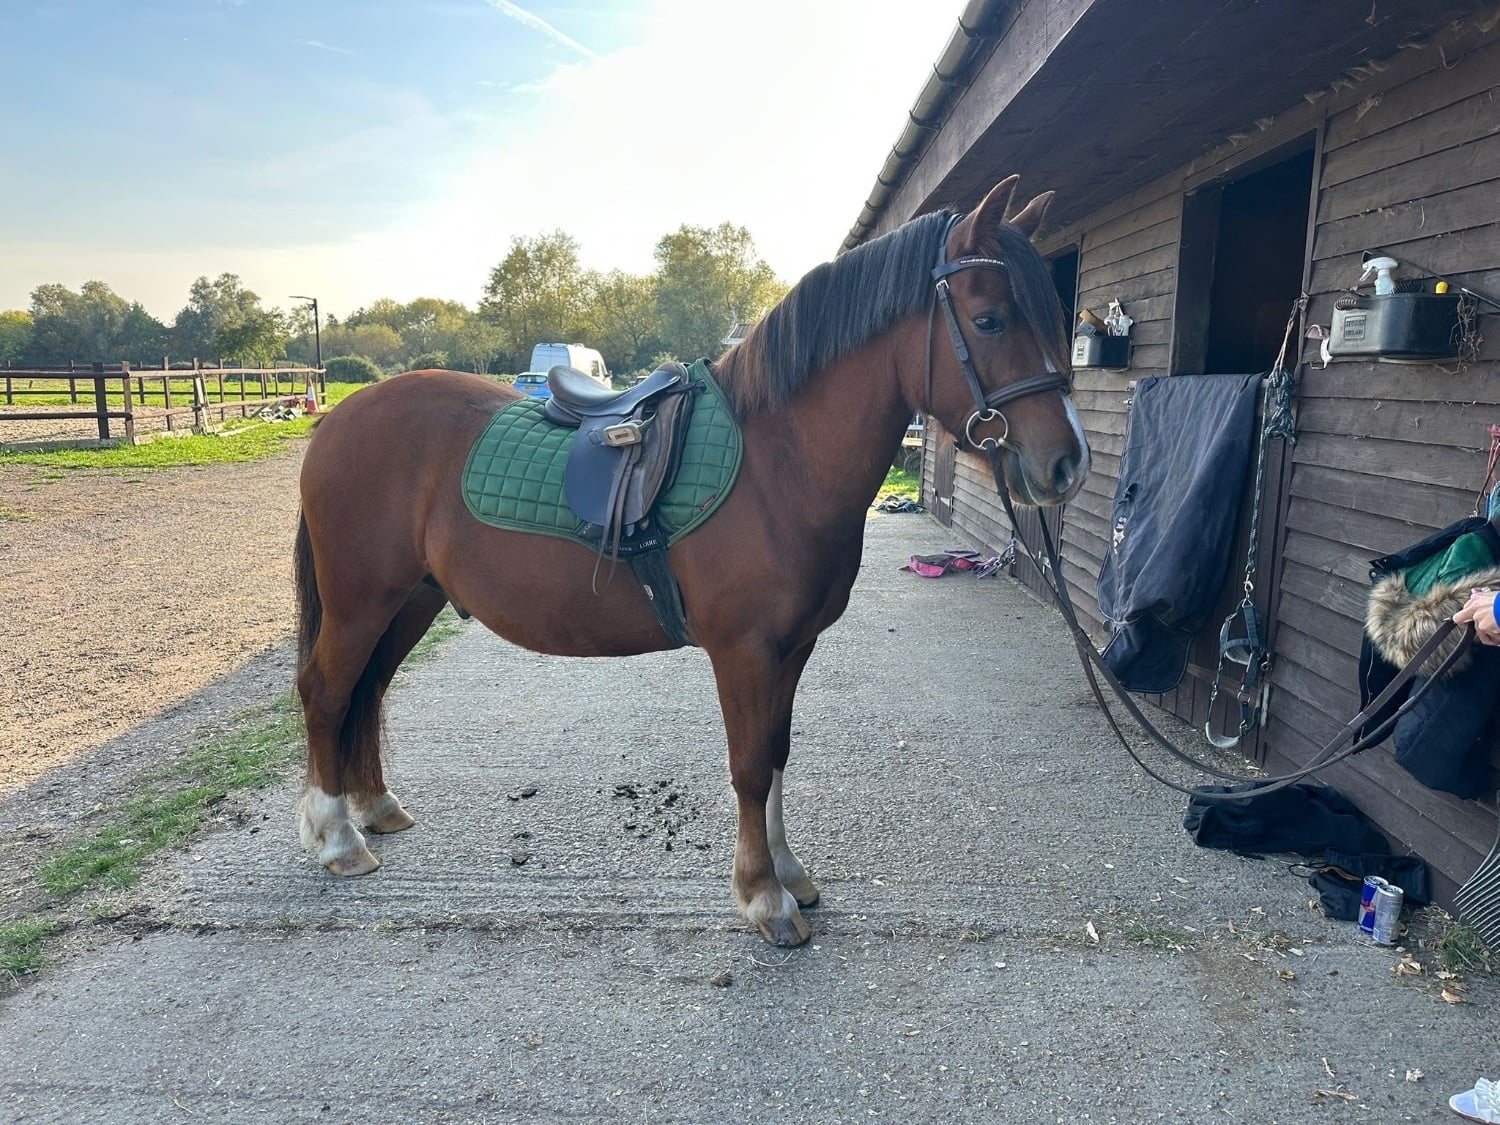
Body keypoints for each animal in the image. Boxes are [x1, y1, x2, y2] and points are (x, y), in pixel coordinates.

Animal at [292, 175, 1090, 947]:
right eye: (990, 320)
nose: (1066, 463)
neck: (777, 463)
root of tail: (339, 418)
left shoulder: (791, 648)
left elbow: (777, 753)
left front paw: (790, 873)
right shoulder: (744, 649)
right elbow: (749, 766)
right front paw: (764, 897)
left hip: (411, 599)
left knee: (368, 689)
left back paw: (375, 807)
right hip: (362, 600)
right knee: (328, 691)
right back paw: (337, 839)